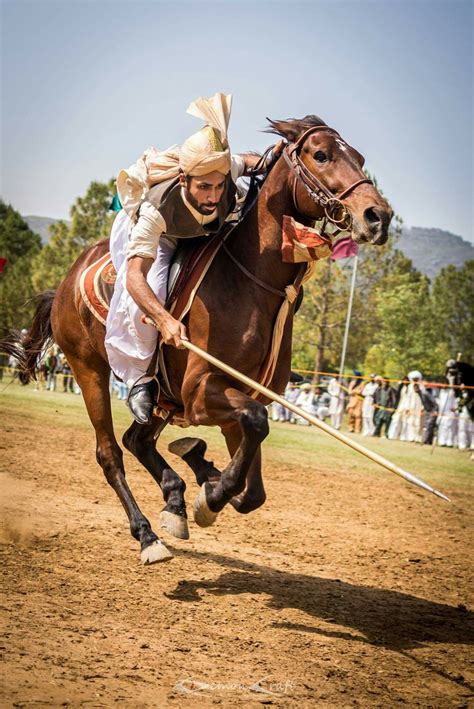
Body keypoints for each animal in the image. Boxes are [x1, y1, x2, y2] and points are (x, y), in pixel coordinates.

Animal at [6, 115, 393, 564]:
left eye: (360, 158)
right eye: (321, 154)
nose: (379, 216)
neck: (251, 283)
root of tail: (66, 281)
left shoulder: (242, 395)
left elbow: (253, 488)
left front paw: (205, 478)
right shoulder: (201, 391)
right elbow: (254, 429)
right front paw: (209, 491)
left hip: (159, 397)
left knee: (136, 438)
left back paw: (175, 495)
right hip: (88, 371)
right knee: (110, 453)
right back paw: (148, 535)